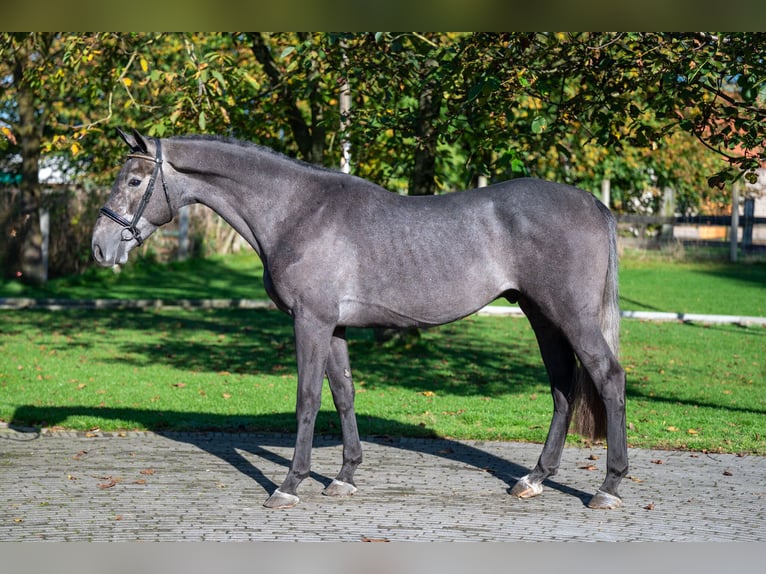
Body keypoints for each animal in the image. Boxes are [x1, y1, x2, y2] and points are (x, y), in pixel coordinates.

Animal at [91, 129, 632, 512]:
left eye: (134, 181)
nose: (100, 246)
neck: (298, 211)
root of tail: (592, 202)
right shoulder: (334, 327)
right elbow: (344, 393)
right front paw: (345, 477)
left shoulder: (310, 322)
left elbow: (308, 399)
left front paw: (290, 484)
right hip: (541, 315)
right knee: (563, 387)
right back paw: (533, 479)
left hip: (571, 316)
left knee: (607, 377)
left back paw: (608, 486)